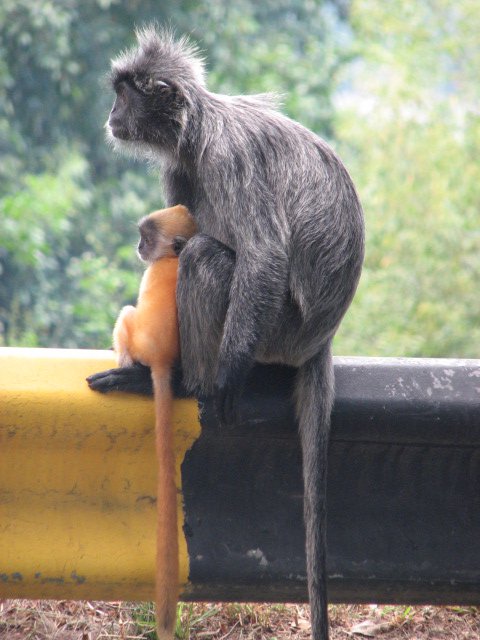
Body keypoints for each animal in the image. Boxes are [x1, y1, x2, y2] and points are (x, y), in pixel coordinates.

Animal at [88, 26, 364, 640]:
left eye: (125, 95)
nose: (111, 115)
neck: (198, 131)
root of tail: (322, 337)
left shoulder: (228, 159)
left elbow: (262, 257)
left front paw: (227, 380)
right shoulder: (181, 171)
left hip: (279, 328)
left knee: (210, 259)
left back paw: (188, 382)